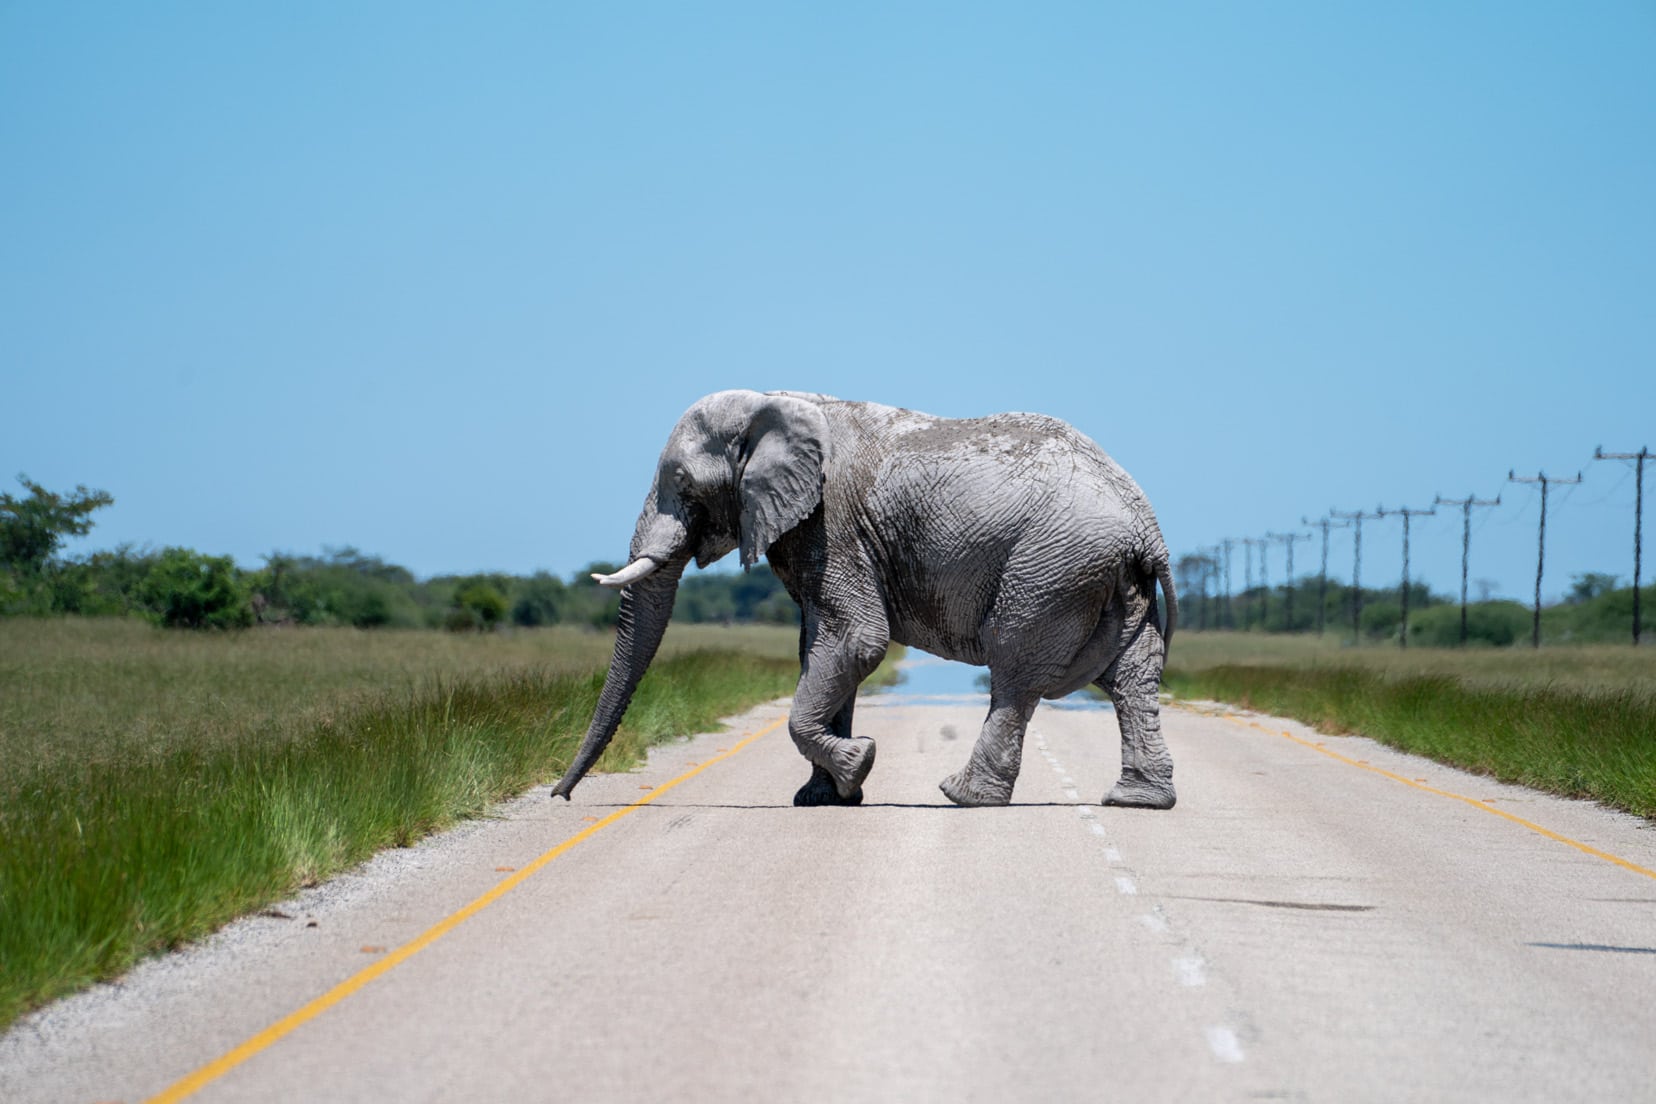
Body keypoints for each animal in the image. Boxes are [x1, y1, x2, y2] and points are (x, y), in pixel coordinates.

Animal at [553, 392, 1179, 807]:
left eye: (683, 484)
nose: (560, 794)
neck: (773, 400)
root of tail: (1146, 528)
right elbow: (820, 648)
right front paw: (823, 797)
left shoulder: (831, 523)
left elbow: (855, 640)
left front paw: (859, 765)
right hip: (1108, 579)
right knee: (1131, 678)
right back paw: (1136, 800)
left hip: (1051, 567)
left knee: (1014, 671)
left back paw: (962, 795)